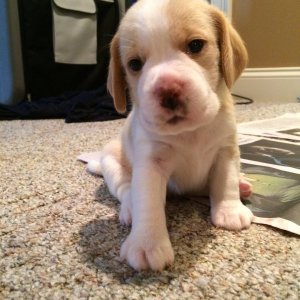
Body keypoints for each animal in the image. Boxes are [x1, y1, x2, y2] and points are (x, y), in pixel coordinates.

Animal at [88, 0, 253, 272]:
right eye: (135, 64)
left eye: (196, 45)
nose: (168, 90)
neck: (189, 132)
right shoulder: (150, 164)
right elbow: (148, 202)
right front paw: (147, 242)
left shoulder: (226, 150)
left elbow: (225, 181)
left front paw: (229, 209)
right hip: (112, 164)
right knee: (126, 189)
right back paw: (129, 208)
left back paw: (241, 184)